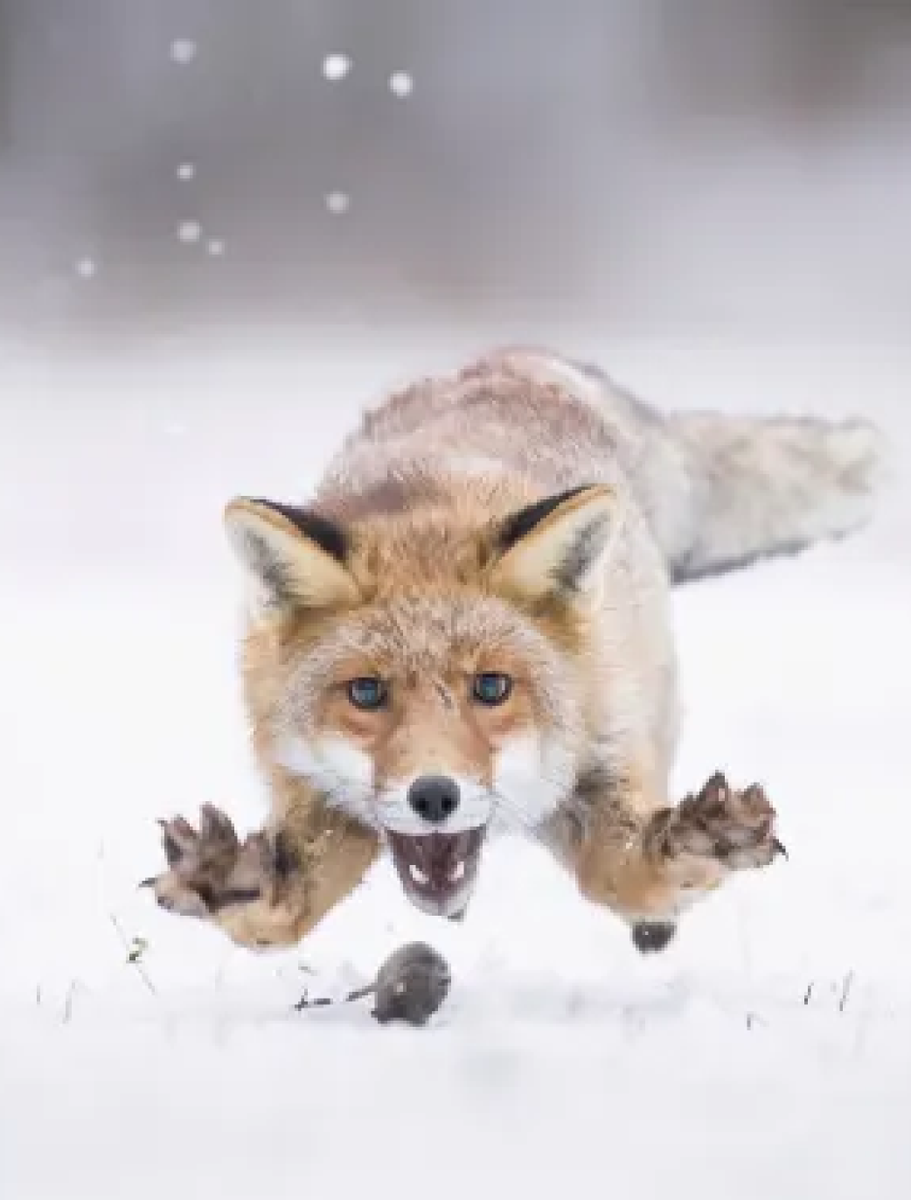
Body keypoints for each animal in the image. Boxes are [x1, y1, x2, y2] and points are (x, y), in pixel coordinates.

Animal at [146, 345, 883, 956]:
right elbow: (279, 912)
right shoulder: (307, 783)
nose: (433, 797)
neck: (432, 508)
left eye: (492, 687)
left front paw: (690, 853)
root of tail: (517, 357)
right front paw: (235, 883)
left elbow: (625, 875)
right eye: (366, 692)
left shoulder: (603, 753)